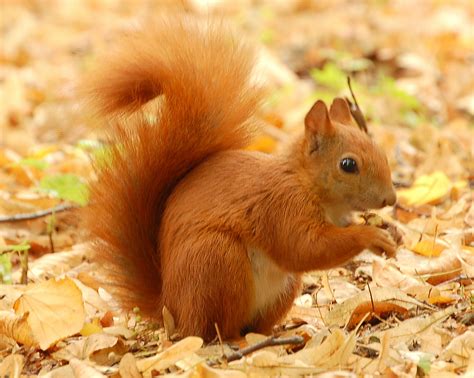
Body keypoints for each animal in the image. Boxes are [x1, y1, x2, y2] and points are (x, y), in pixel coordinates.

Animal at [83, 16, 398, 342]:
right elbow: (305, 248)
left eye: (377, 149)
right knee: (212, 329)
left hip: (280, 287)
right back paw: (235, 339)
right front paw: (369, 235)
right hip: (218, 263)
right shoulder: (282, 207)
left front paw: (390, 233)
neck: (306, 183)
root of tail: (171, 309)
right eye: (348, 165)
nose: (391, 199)